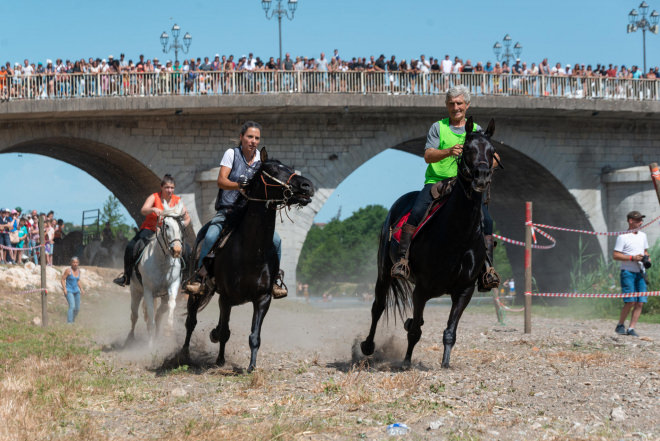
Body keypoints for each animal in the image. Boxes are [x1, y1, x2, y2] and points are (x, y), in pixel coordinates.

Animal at [127, 204, 184, 348]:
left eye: (181, 225)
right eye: (166, 225)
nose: (176, 250)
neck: (162, 261)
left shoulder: (173, 285)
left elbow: (171, 304)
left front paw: (168, 330)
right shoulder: (148, 291)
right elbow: (150, 318)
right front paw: (150, 346)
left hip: (161, 296)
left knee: (159, 313)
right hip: (135, 291)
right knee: (134, 315)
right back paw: (130, 339)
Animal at [180, 148, 314, 372]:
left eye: (290, 167)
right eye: (273, 170)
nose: (308, 186)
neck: (251, 250)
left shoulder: (262, 299)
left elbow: (254, 335)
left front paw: (251, 366)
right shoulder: (225, 297)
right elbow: (223, 331)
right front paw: (215, 346)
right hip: (197, 291)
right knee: (191, 321)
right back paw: (184, 354)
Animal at [360, 117, 496, 368]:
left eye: (492, 151)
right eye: (467, 149)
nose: (482, 175)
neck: (457, 236)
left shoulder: (464, 290)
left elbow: (449, 331)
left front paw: (445, 363)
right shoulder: (421, 289)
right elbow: (414, 331)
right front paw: (406, 362)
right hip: (384, 272)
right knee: (378, 307)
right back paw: (367, 346)